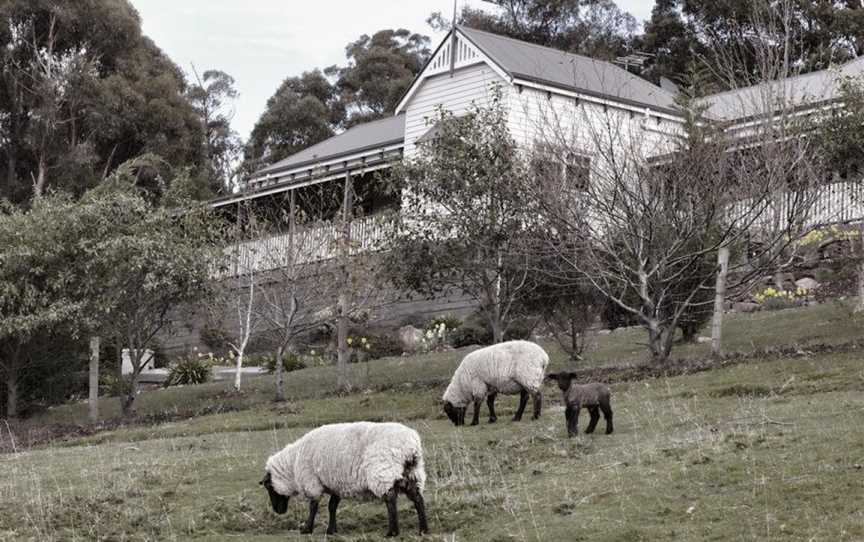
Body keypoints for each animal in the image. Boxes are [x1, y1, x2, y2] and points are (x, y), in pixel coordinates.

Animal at [260, 422, 428, 536]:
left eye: (268, 487)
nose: (278, 511)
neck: (293, 463)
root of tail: (410, 447)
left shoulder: (312, 482)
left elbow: (313, 506)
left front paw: (307, 529)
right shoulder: (336, 484)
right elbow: (332, 506)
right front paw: (331, 530)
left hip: (383, 472)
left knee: (391, 499)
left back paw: (392, 532)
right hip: (413, 474)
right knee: (418, 499)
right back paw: (423, 529)